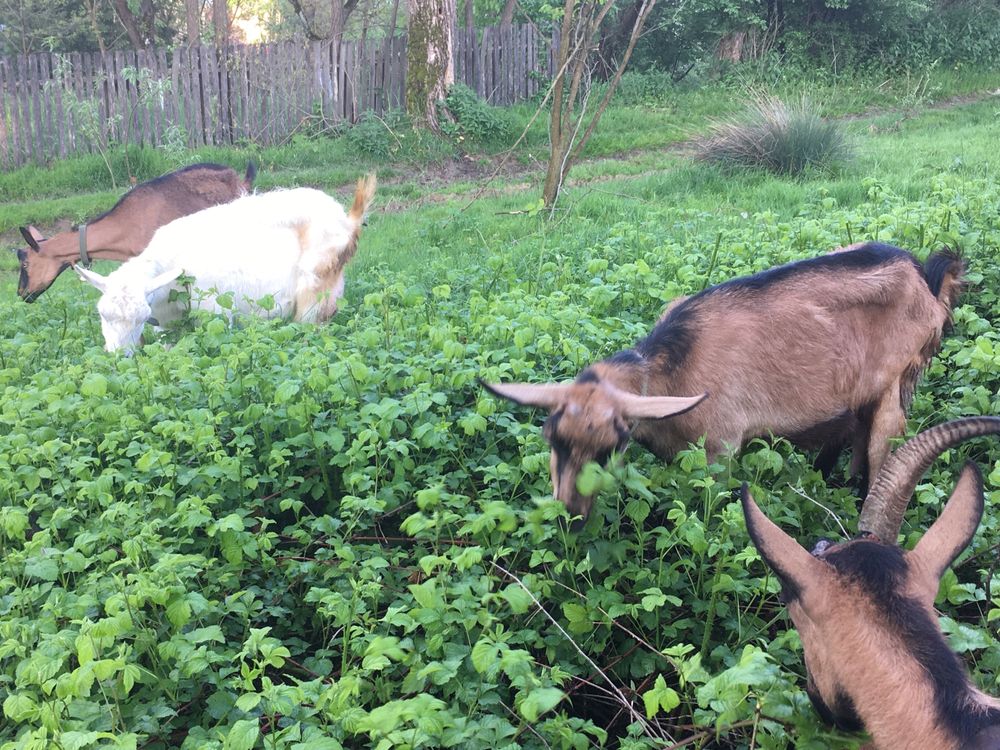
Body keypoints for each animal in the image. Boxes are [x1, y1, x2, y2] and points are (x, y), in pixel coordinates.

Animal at [76, 176, 376, 356]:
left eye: (140, 319)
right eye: (102, 314)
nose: (119, 358)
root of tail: (348, 220)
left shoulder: (215, 313)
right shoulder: (166, 324)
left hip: (316, 292)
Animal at [488, 244, 964, 520]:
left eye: (610, 448)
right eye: (554, 439)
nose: (569, 513)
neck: (671, 367)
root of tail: (928, 280)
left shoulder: (721, 448)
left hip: (896, 384)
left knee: (883, 447)